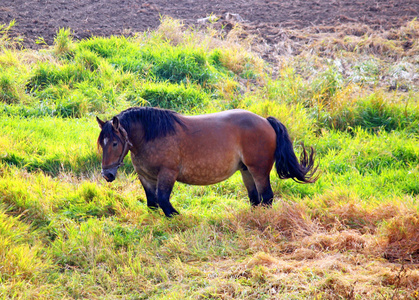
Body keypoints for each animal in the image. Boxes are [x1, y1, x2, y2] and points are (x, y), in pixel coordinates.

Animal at [96, 106, 318, 217]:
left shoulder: (167, 174)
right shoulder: (145, 177)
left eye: (114, 143)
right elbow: (152, 203)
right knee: (255, 199)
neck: (152, 136)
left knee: (267, 197)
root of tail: (265, 121)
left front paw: (177, 217)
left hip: (259, 170)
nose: (107, 175)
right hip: (246, 170)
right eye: (102, 143)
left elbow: (163, 200)